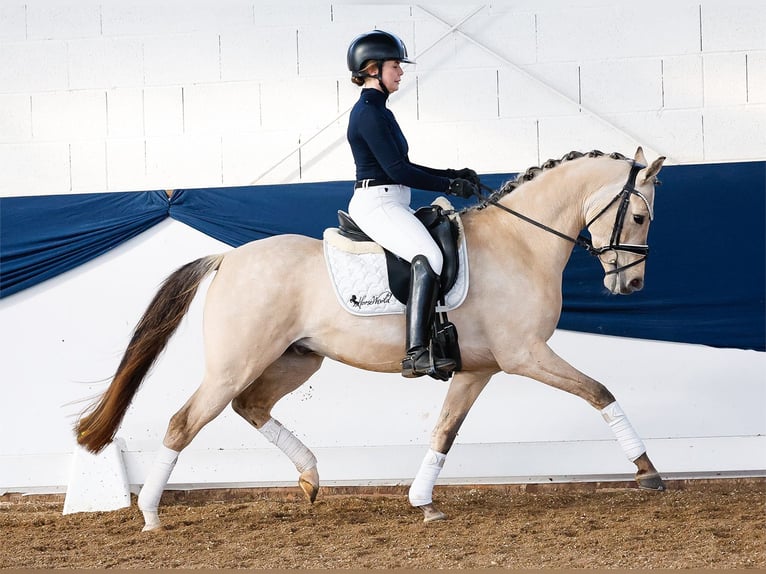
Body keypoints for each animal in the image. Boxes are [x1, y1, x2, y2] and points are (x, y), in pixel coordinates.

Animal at [75, 147, 668, 532]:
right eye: (640, 216)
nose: (631, 285)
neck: (520, 242)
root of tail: (227, 258)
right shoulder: (526, 355)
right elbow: (599, 392)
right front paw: (648, 472)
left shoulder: (479, 368)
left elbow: (444, 432)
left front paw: (423, 501)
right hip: (235, 363)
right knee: (185, 421)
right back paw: (151, 515)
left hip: (295, 361)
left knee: (251, 406)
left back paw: (311, 478)